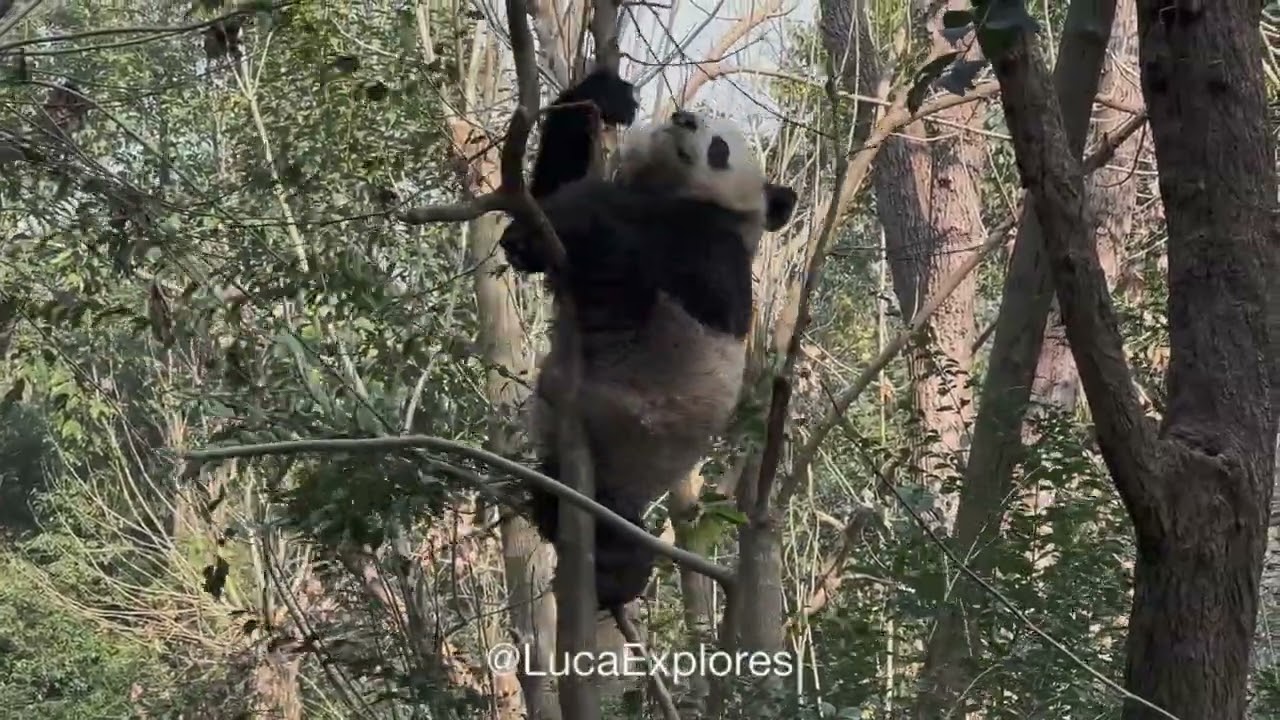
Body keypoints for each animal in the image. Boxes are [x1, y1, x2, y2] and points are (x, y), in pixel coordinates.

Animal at [499, 67, 798, 610]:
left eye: (720, 147)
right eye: (696, 115)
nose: (683, 119)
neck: (668, 189)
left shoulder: (710, 246)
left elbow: (639, 258)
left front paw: (553, 226)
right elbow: (552, 186)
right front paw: (605, 95)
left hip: (632, 441)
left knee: (618, 529)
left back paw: (614, 574)